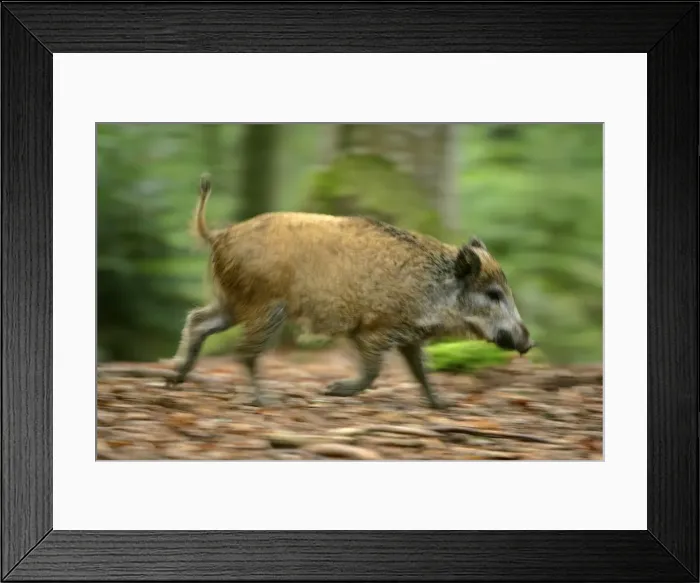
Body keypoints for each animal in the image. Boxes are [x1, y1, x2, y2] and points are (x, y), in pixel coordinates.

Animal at [167, 173, 535, 409]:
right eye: (494, 294)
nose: (529, 342)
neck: (432, 289)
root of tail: (219, 235)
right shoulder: (374, 330)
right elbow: (373, 372)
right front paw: (333, 390)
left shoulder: (409, 336)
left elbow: (421, 371)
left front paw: (443, 405)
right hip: (265, 307)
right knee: (244, 351)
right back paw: (264, 401)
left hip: (232, 301)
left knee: (198, 320)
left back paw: (174, 379)